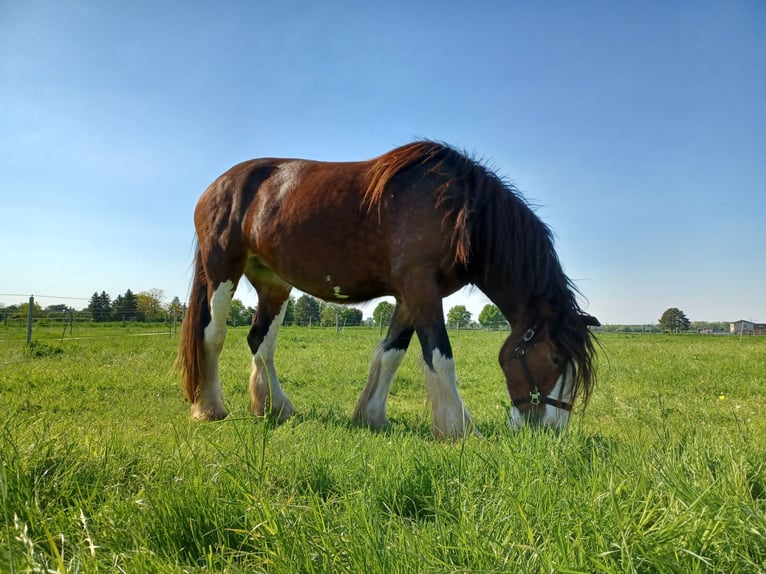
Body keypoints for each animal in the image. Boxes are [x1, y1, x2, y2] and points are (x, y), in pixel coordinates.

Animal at [177, 141, 599, 439]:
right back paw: (210, 408)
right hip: (223, 270)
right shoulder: (420, 287)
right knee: (213, 335)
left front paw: (372, 417)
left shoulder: (410, 295)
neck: (459, 208)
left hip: (273, 282)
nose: (551, 430)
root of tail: (215, 187)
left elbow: (392, 353)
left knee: (260, 341)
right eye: (556, 358)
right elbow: (440, 356)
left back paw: (275, 408)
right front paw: (458, 429)